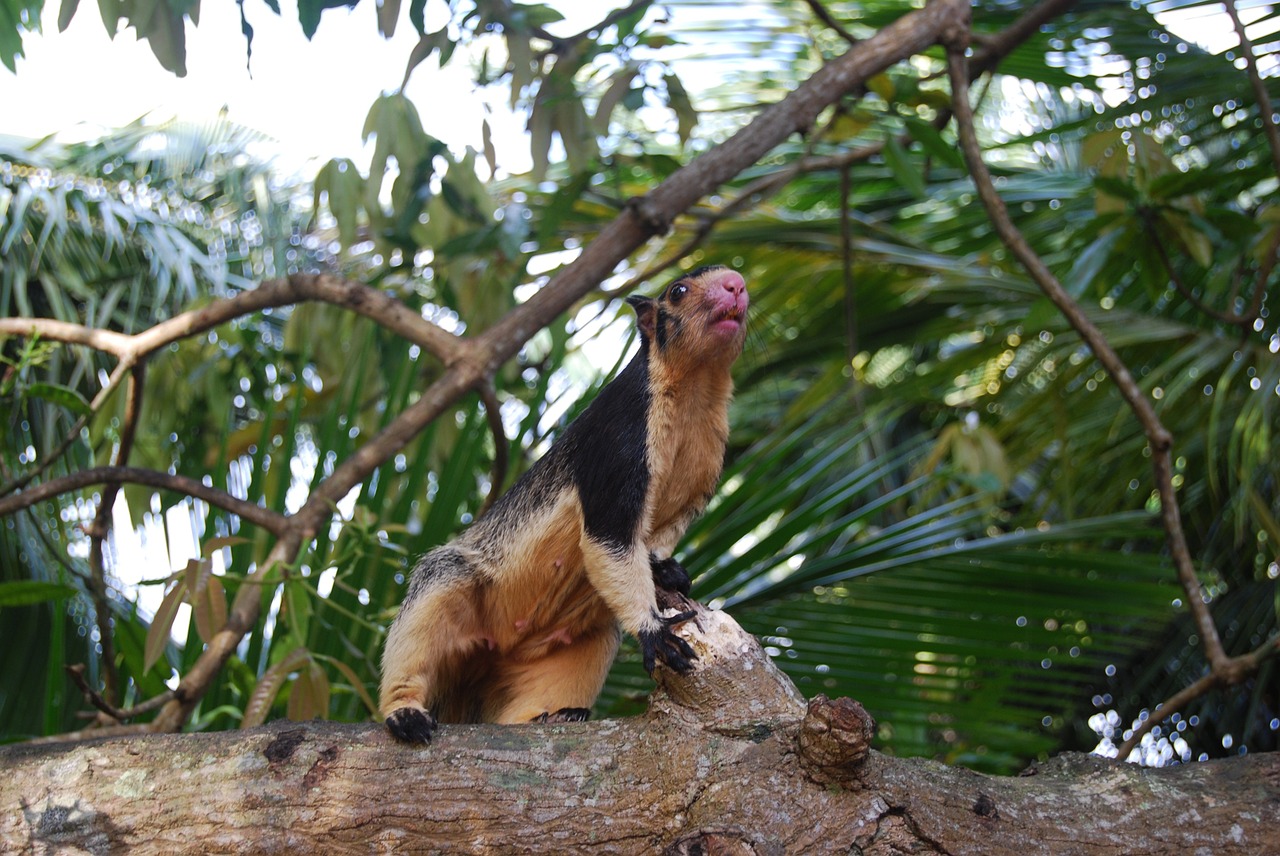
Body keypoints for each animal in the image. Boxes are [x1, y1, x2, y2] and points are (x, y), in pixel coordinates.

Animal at [376, 263, 747, 737]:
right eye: (678, 291)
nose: (737, 284)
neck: (697, 389)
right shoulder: (619, 442)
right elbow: (608, 535)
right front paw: (654, 632)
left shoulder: (704, 469)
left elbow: (662, 536)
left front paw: (668, 571)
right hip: (449, 590)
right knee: (419, 636)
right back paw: (405, 713)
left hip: (573, 648)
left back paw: (557, 714)